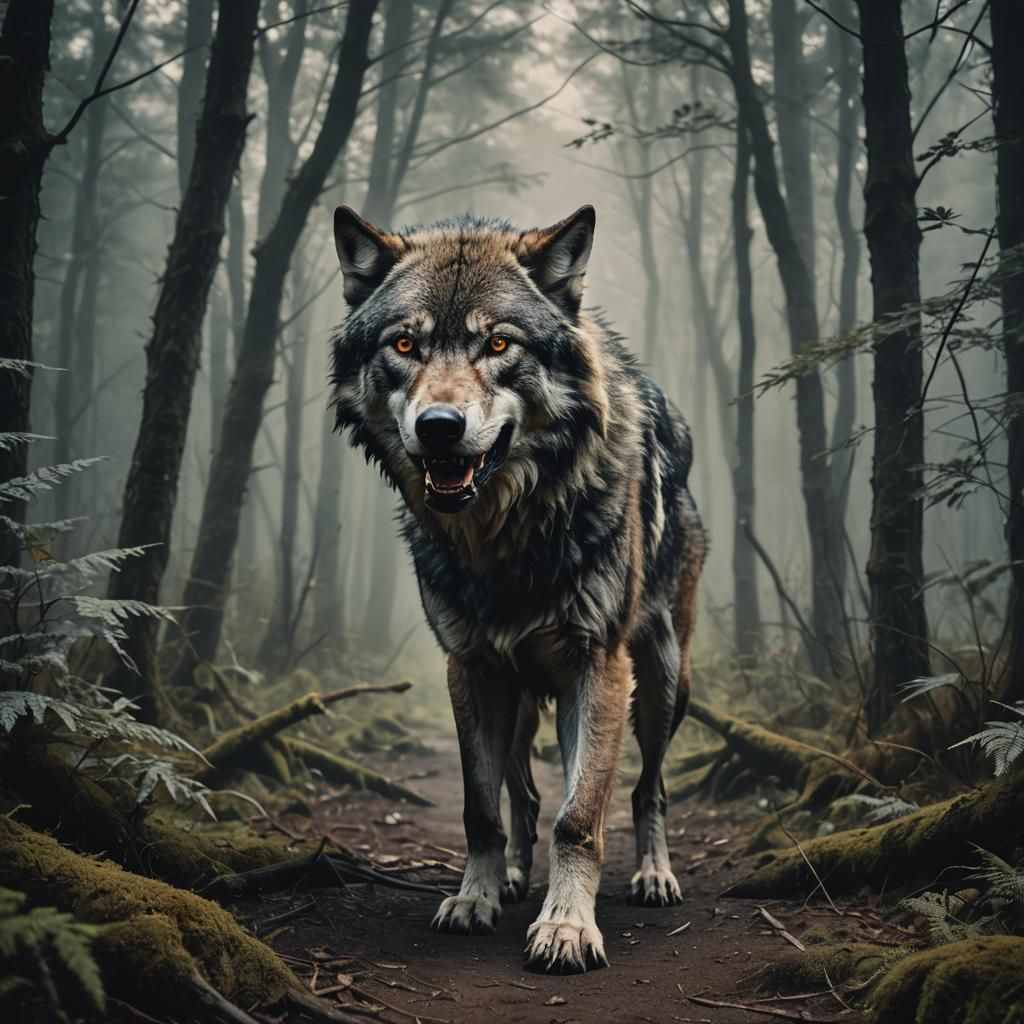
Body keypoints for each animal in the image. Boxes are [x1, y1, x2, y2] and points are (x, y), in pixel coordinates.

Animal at [329, 203, 705, 974]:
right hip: (522, 694)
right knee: (524, 795)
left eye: (499, 343)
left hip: (660, 682)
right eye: (405, 344)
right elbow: (482, 808)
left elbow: (579, 817)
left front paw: (566, 927)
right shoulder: (470, 667)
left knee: (648, 788)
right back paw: (508, 878)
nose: (439, 427)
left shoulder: (598, 668)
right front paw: (475, 897)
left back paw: (654, 875)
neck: (505, 539)